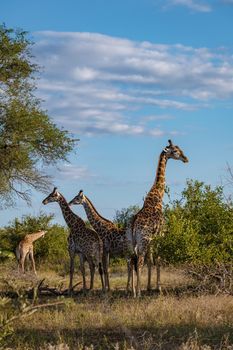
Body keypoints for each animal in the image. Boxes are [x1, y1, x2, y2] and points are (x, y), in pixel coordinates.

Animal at [126, 139, 188, 296]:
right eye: (175, 151)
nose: (186, 159)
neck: (157, 196)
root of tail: (133, 225)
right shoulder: (160, 234)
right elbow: (157, 260)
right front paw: (158, 288)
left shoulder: (153, 239)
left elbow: (150, 260)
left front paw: (149, 286)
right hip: (143, 240)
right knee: (139, 262)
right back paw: (138, 293)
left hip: (131, 242)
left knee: (132, 261)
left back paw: (132, 291)